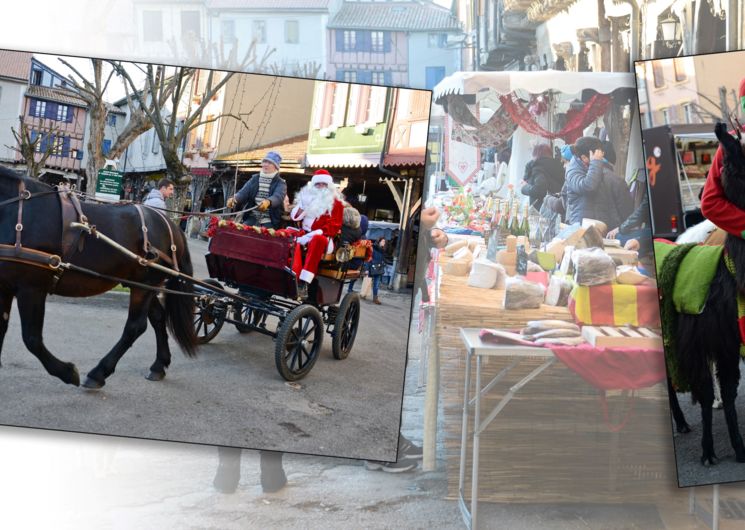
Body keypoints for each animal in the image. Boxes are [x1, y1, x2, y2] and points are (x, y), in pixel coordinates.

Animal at [0, 167, 198, 386]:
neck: (16, 213)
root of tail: (171, 225)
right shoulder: (5, 287)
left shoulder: (31, 288)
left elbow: (32, 339)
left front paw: (67, 372)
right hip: (145, 285)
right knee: (157, 317)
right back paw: (159, 365)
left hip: (144, 286)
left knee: (135, 326)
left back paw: (99, 372)